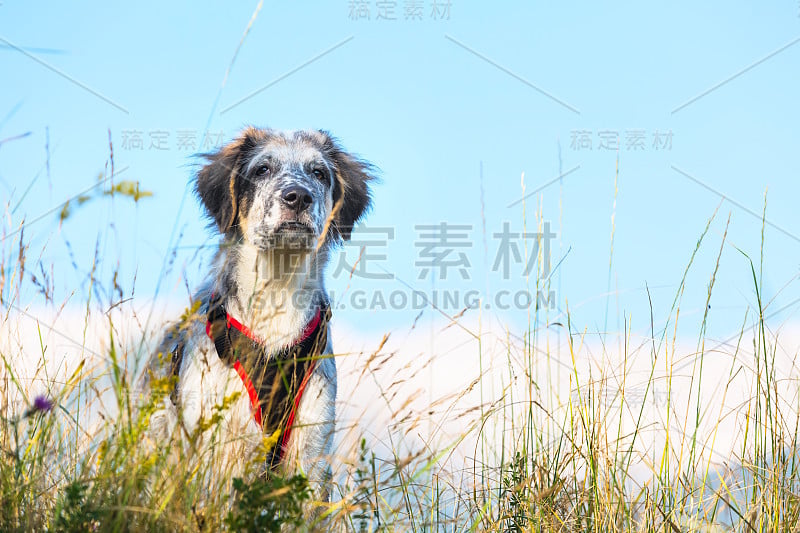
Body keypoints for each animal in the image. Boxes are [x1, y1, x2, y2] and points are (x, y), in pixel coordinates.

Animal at [138, 124, 376, 502]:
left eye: (319, 173)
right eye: (262, 169)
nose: (298, 197)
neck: (278, 296)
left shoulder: (312, 446)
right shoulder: (214, 444)